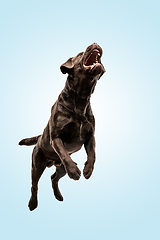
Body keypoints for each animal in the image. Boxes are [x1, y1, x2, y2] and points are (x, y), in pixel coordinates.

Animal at [19, 42, 105, 210]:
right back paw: (33, 203)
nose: (95, 43)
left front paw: (88, 169)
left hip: (60, 168)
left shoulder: (90, 136)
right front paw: (75, 171)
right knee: (34, 185)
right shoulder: (56, 137)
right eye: (80, 54)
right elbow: (64, 153)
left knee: (53, 178)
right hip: (37, 165)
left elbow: (93, 154)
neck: (81, 99)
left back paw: (58, 195)